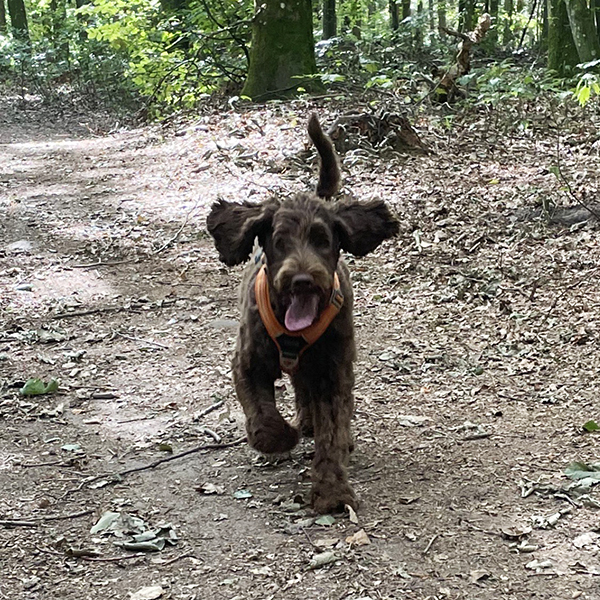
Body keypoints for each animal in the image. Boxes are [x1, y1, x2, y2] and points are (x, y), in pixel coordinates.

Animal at [206, 115, 398, 512]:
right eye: (279, 241)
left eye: (323, 240)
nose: (303, 280)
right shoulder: (247, 362)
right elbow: (262, 416)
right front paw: (282, 437)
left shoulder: (334, 370)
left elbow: (333, 429)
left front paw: (332, 491)